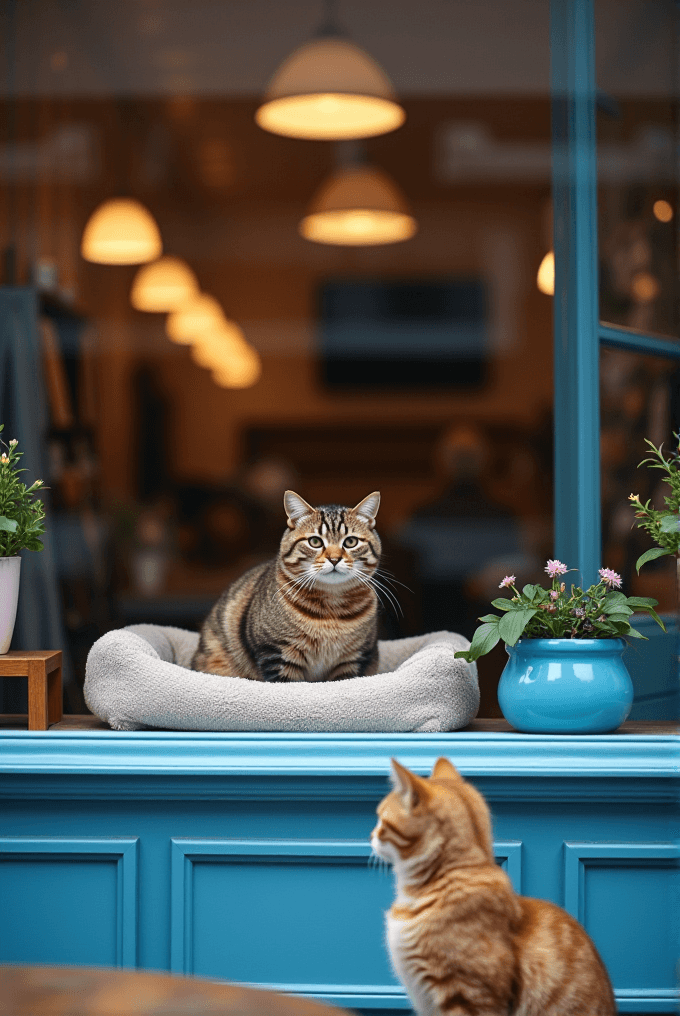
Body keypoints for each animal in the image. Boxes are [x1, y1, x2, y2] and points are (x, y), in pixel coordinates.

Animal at [191, 491, 382, 682]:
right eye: (315, 542)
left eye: (351, 542)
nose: (334, 559)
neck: (331, 608)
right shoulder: (277, 653)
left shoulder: (354, 658)